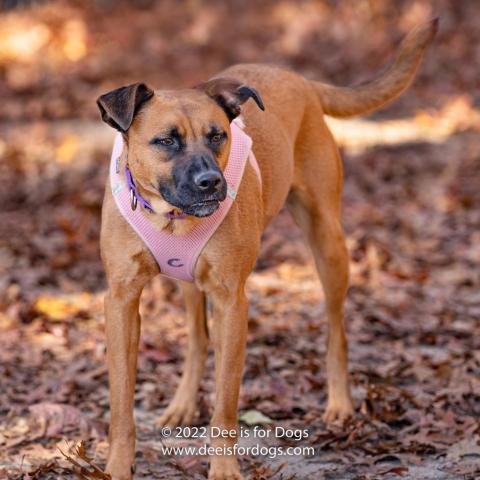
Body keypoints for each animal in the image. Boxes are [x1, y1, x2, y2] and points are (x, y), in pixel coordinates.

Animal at [95, 20, 436, 478]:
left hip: (328, 242)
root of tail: (299, 79)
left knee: (337, 329)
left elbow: (225, 404)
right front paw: (118, 465)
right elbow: (121, 403)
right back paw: (183, 403)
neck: (169, 216)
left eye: (217, 136)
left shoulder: (231, 302)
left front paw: (223, 469)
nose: (211, 182)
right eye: (166, 141)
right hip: (188, 282)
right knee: (198, 338)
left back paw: (340, 402)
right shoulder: (121, 300)